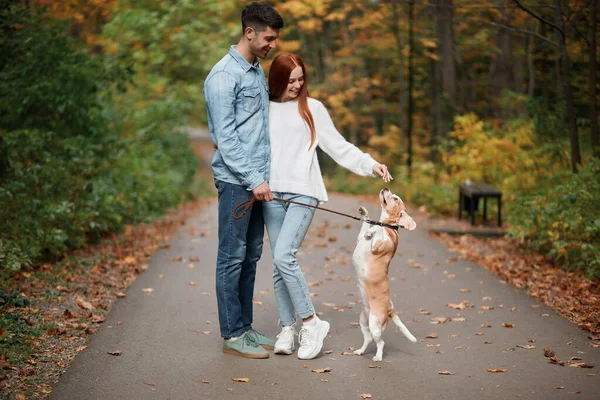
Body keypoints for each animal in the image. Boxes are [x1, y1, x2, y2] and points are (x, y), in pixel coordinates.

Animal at [352, 188, 418, 362]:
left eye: (395, 198)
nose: (386, 188)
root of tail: (390, 309)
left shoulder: (378, 245)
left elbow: (379, 229)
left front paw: (374, 229)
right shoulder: (359, 239)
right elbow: (368, 225)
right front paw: (365, 214)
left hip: (374, 324)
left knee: (380, 342)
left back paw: (378, 357)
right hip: (363, 321)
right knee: (368, 339)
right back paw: (360, 351)